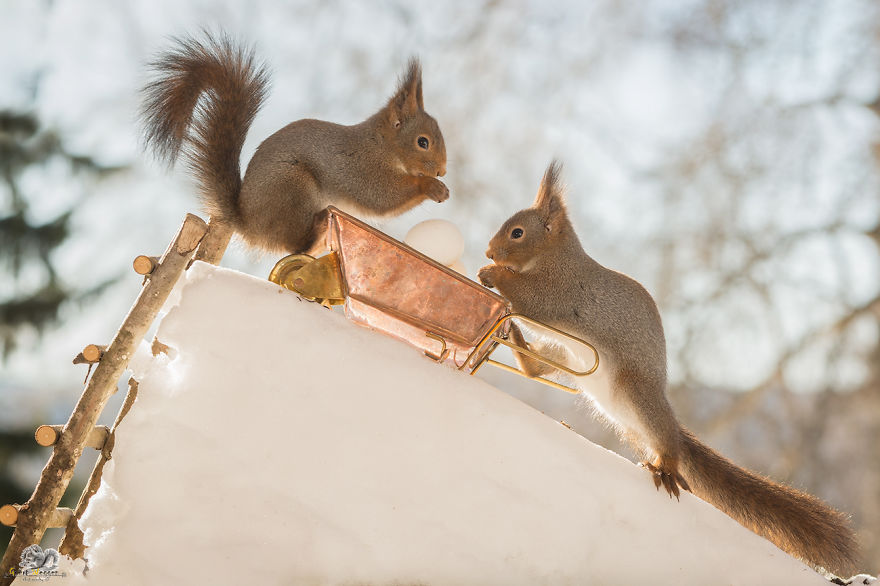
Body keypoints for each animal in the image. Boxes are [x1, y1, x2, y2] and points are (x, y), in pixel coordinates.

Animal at [140, 33, 448, 255]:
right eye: (422, 142)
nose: (442, 171)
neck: (381, 144)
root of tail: (250, 225)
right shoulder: (359, 166)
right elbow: (381, 196)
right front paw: (432, 186)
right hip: (293, 187)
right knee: (294, 245)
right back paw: (319, 228)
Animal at [478, 161, 858, 575]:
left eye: (517, 232)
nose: (489, 251)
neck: (555, 258)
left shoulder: (558, 291)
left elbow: (529, 298)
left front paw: (492, 275)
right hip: (564, 355)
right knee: (536, 370)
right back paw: (517, 344)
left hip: (637, 392)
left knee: (667, 442)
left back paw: (668, 467)